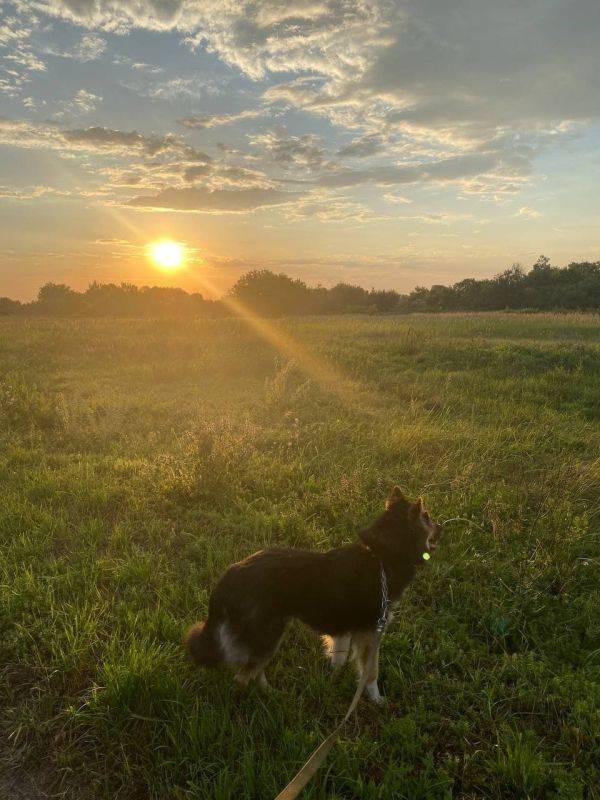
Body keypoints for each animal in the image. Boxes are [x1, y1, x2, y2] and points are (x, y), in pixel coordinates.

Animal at [183, 484, 440, 704]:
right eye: (427, 516)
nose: (443, 527)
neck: (381, 555)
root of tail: (228, 578)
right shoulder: (371, 633)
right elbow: (371, 673)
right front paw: (376, 700)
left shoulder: (345, 630)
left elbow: (339, 660)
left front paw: (332, 684)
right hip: (269, 634)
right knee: (244, 675)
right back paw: (261, 699)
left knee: (252, 670)